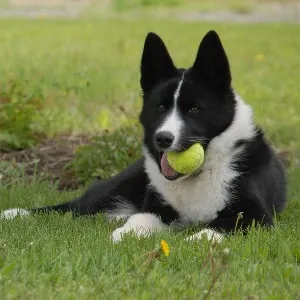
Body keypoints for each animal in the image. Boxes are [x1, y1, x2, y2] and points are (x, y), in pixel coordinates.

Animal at [2, 30, 288, 243]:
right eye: (160, 107)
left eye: (194, 109)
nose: (163, 139)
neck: (199, 174)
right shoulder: (156, 210)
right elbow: (138, 219)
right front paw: (123, 235)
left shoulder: (255, 216)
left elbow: (214, 230)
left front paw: (195, 241)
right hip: (113, 189)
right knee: (72, 207)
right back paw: (15, 213)